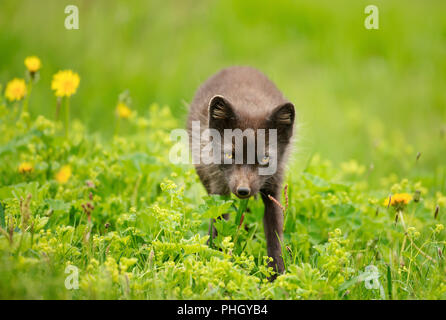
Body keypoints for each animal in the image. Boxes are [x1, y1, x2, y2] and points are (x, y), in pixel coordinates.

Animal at [187, 66, 296, 278]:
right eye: (230, 155)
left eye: (265, 159)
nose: (243, 190)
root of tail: (239, 66)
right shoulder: (219, 190)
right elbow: (218, 224)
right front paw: (214, 260)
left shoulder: (274, 189)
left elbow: (275, 233)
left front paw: (276, 275)